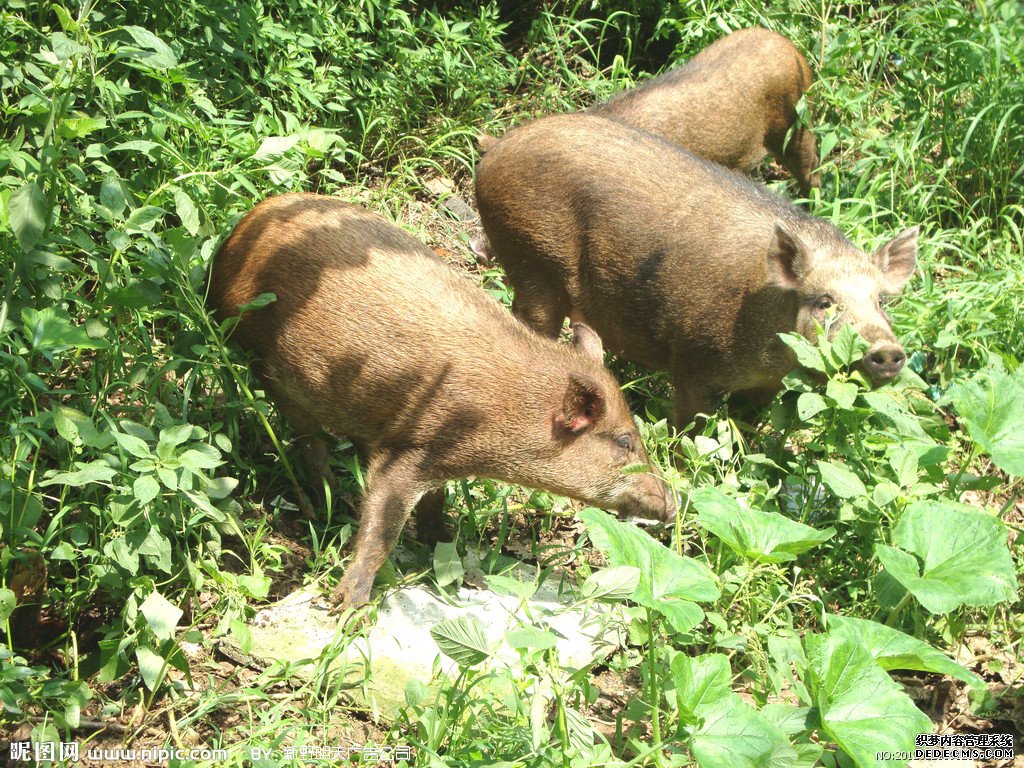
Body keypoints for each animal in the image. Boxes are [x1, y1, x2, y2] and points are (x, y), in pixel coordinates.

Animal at [206, 193, 675, 614]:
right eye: (624, 441)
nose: (671, 504)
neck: (505, 411)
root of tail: (235, 235)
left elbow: (434, 505)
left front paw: (456, 558)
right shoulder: (414, 447)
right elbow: (382, 526)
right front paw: (346, 606)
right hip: (265, 363)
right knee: (309, 440)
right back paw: (328, 504)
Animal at [477, 118, 921, 436]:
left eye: (881, 301)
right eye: (824, 301)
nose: (887, 350)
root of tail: (495, 150)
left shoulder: (768, 386)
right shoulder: (694, 361)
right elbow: (691, 432)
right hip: (532, 259)